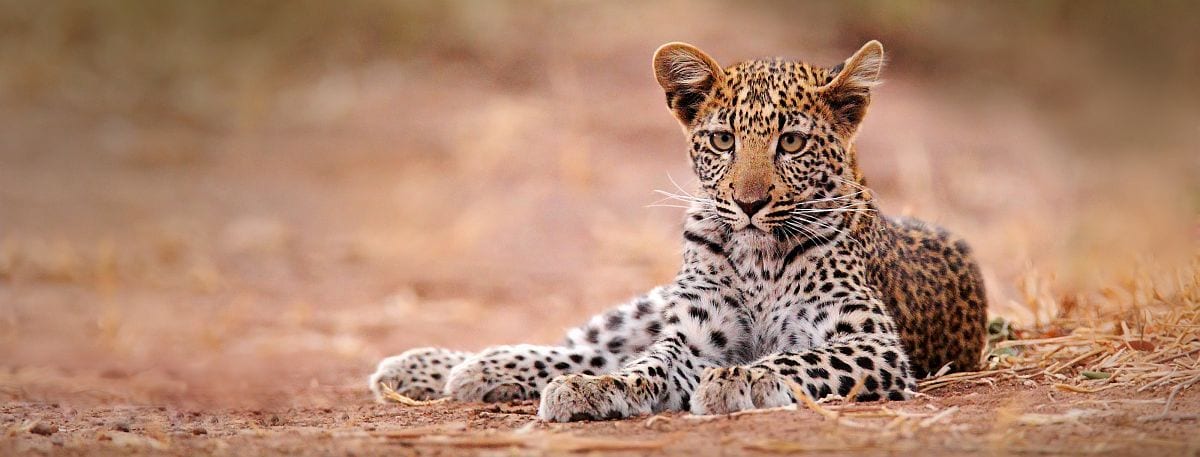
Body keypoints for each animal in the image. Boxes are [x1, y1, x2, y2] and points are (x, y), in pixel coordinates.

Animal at [369, 40, 988, 422]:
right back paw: (441, 366)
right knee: (586, 346)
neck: (759, 257)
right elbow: (646, 365)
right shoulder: (693, 336)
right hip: (648, 306)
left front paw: (739, 382)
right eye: (722, 139)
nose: (749, 203)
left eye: (791, 142)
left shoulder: (872, 342)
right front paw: (599, 391)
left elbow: (796, 359)